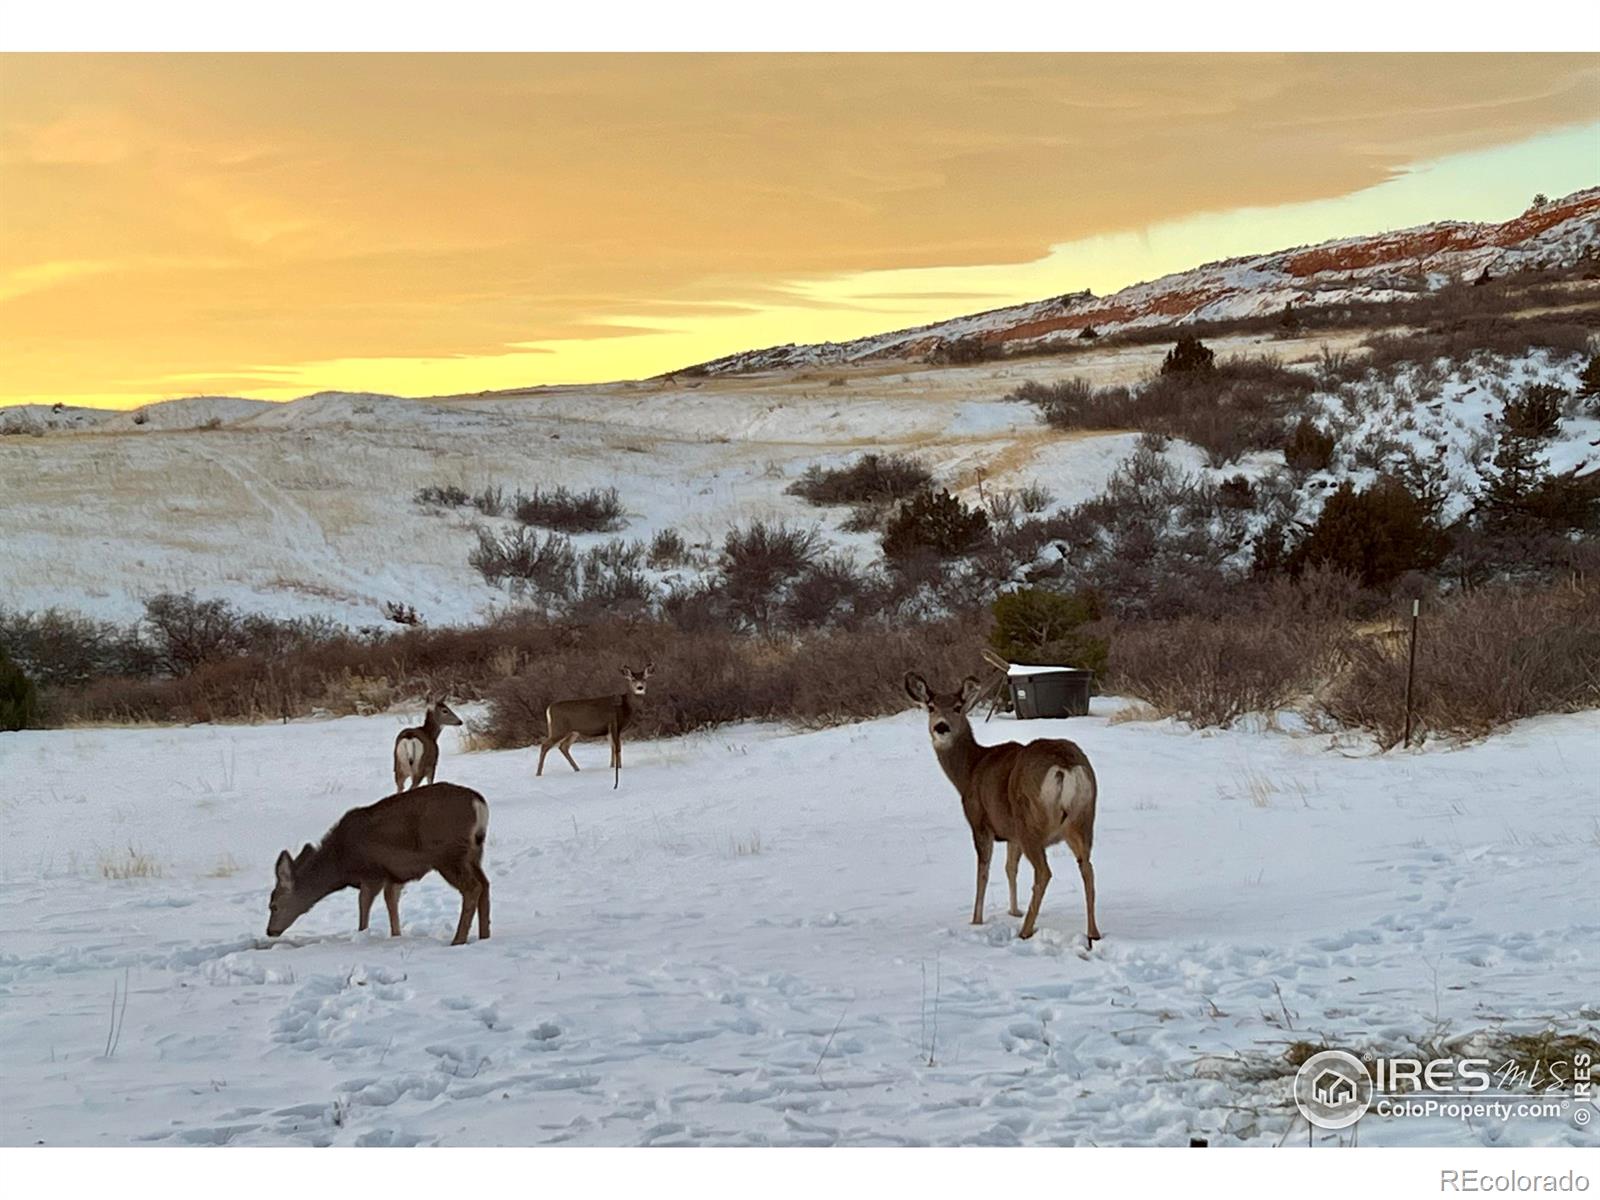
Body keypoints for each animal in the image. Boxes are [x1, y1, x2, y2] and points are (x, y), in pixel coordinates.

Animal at [265, 784, 489, 953]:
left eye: (273, 905)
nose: (269, 931)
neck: (340, 863)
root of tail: (479, 803)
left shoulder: (373, 873)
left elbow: (363, 906)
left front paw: (361, 935)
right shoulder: (394, 875)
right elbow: (391, 902)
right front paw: (396, 935)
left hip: (447, 854)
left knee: (473, 887)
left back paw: (458, 940)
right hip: (473, 853)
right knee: (485, 884)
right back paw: (484, 935)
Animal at [902, 672, 1100, 947]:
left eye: (957, 707)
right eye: (931, 707)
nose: (941, 727)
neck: (969, 772)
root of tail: (1065, 766)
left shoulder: (980, 822)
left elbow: (983, 871)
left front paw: (976, 920)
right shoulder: (1011, 833)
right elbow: (1010, 868)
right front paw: (1014, 911)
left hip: (1030, 822)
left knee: (1044, 872)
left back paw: (1026, 931)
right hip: (1083, 819)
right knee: (1087, 868)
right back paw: (1093, 932)